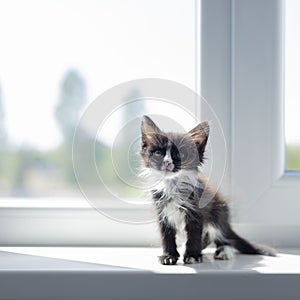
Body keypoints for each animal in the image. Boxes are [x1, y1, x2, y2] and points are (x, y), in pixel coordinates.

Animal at [139, 115, 276, 264]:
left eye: (179, 154)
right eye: (158, 153)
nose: (167, 162)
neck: (173, 185)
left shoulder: (197, 210)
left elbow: (194, 234)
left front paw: (192, 255)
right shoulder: (162, 211)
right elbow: (167, 234)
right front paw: (168, 256)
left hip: (218, 213)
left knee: (222, 235)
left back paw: (223, 251)